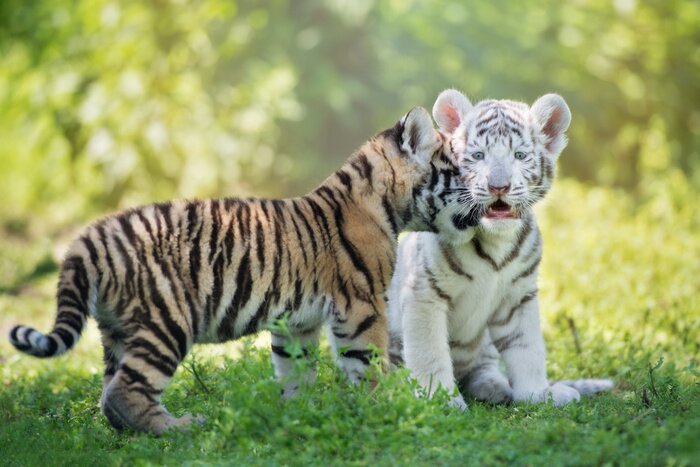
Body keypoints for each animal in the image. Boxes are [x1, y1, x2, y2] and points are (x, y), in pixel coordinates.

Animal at [8, 106, 478, 435]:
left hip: (118, 331)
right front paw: (386, 408)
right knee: (125, 392)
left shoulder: (298, 322)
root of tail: (90, 238)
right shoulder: (361, 306)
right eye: (457, 170)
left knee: (109, 393)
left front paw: (298, 413)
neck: (386, 204)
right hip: (165, 321)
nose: (487, 195)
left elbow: (296, 371)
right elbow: (370, 364)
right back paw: (179, 428)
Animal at [387, 90, 613, 409]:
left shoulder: (519, 296)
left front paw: (537, 393)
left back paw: (496, 387)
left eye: (519, 156)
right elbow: (429, 353)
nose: (498, 186)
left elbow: (528, 349)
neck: (496, 242)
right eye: (478, 156)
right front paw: (440, 400)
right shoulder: (424, 295)